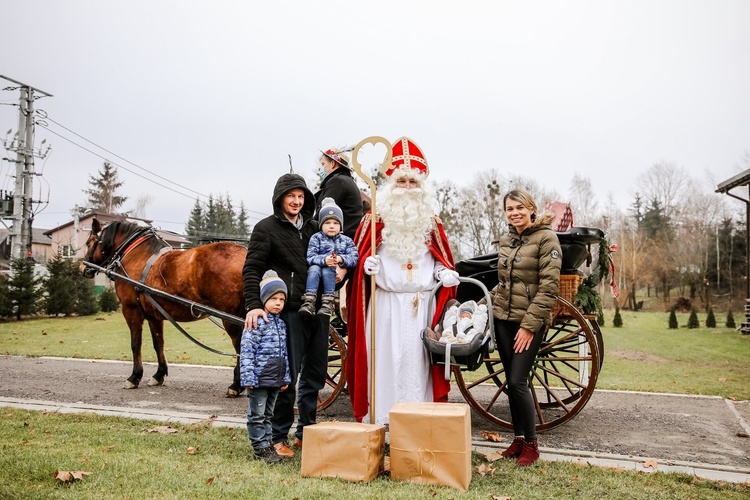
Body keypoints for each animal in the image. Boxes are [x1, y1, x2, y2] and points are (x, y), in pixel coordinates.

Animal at [81, 219, 248, 398]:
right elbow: (158, 343)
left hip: (231, 318)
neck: (136, 254)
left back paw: (236, 385)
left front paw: (134, 377)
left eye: (89, 242)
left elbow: (135, 344)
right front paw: (158, 374)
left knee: (241, 346)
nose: (83, 268)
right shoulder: (154, 314)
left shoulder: (131, 310)